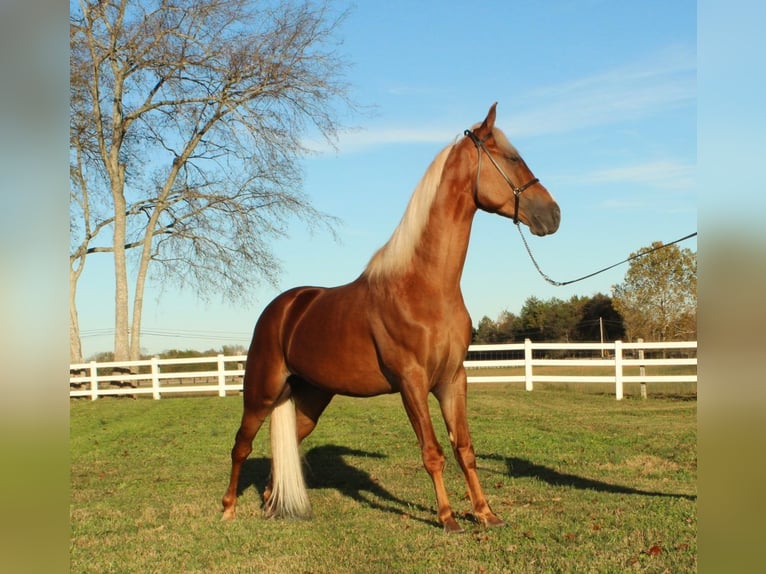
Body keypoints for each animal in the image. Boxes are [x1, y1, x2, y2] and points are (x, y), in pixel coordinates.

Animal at [222, 103, 564, 536]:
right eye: (513, 158)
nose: (553, 214)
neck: (425, 286)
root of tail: (282, 309)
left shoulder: (453, 380)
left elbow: (464, 449)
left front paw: (485, 513)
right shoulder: (411, 382)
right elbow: (433, 451)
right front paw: (448, 519)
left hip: (311, 399)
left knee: (284, 448)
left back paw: (271, 504)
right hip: (261, 392)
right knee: (242, 445)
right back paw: (228, 509)